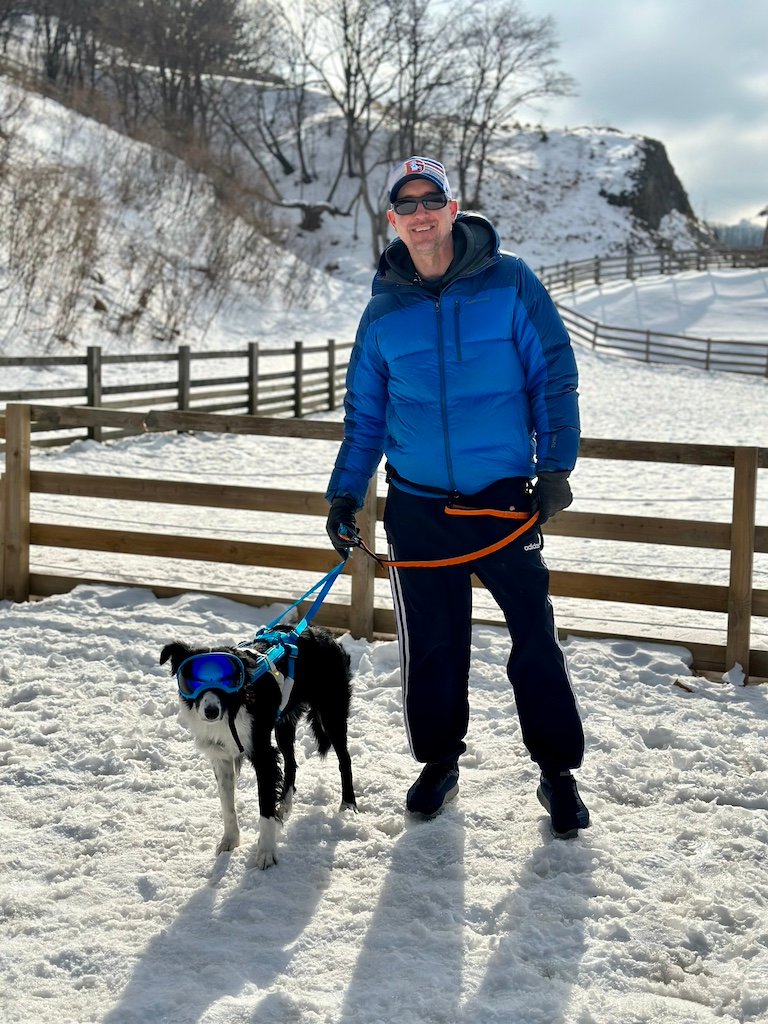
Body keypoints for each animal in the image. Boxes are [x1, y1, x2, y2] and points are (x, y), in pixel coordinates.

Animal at [160, 622, 360, 872]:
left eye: (228, 679)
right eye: (193, 680)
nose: (211, 712)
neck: (233, 707)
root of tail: (324, 633)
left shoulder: (263, 755)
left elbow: (264, 807)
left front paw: (266, 853)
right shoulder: (221, 757)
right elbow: (227, 806)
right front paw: (230, 841)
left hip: (331, 713)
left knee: (345, 759)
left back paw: (348, 805)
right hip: (284, 723)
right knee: (292, 762)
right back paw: (284, 805)